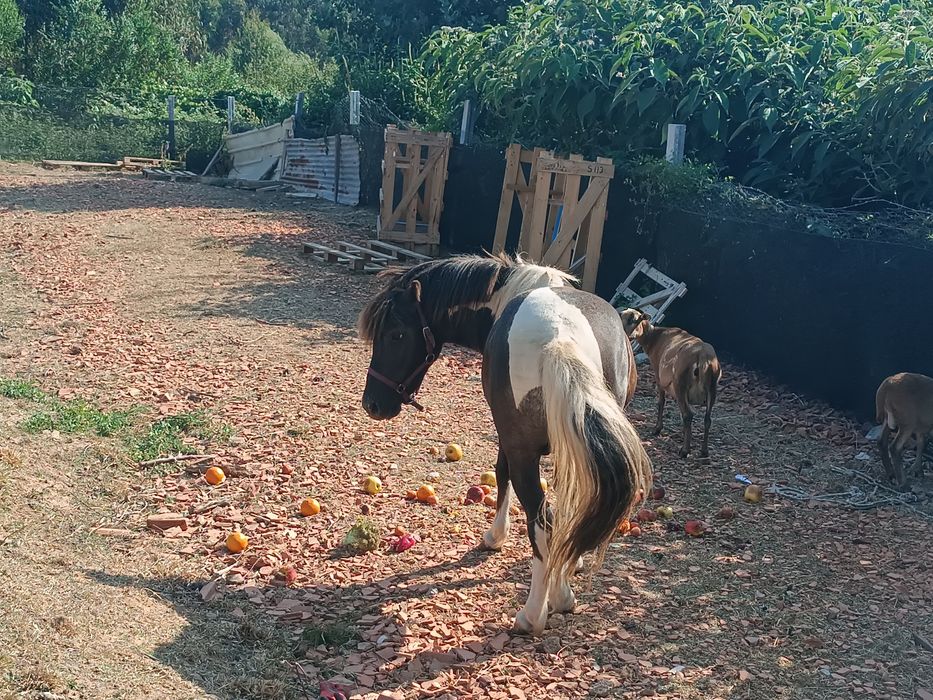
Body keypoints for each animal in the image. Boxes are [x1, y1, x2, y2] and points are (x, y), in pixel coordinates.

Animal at [358, 253, 652, 635]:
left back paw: (534, 614)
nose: (373, 404)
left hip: (523, 453)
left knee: (542, 523)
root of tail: (560, 337)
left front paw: (495, 537)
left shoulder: (507, 441)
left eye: (396, 334)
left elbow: (501, 475)